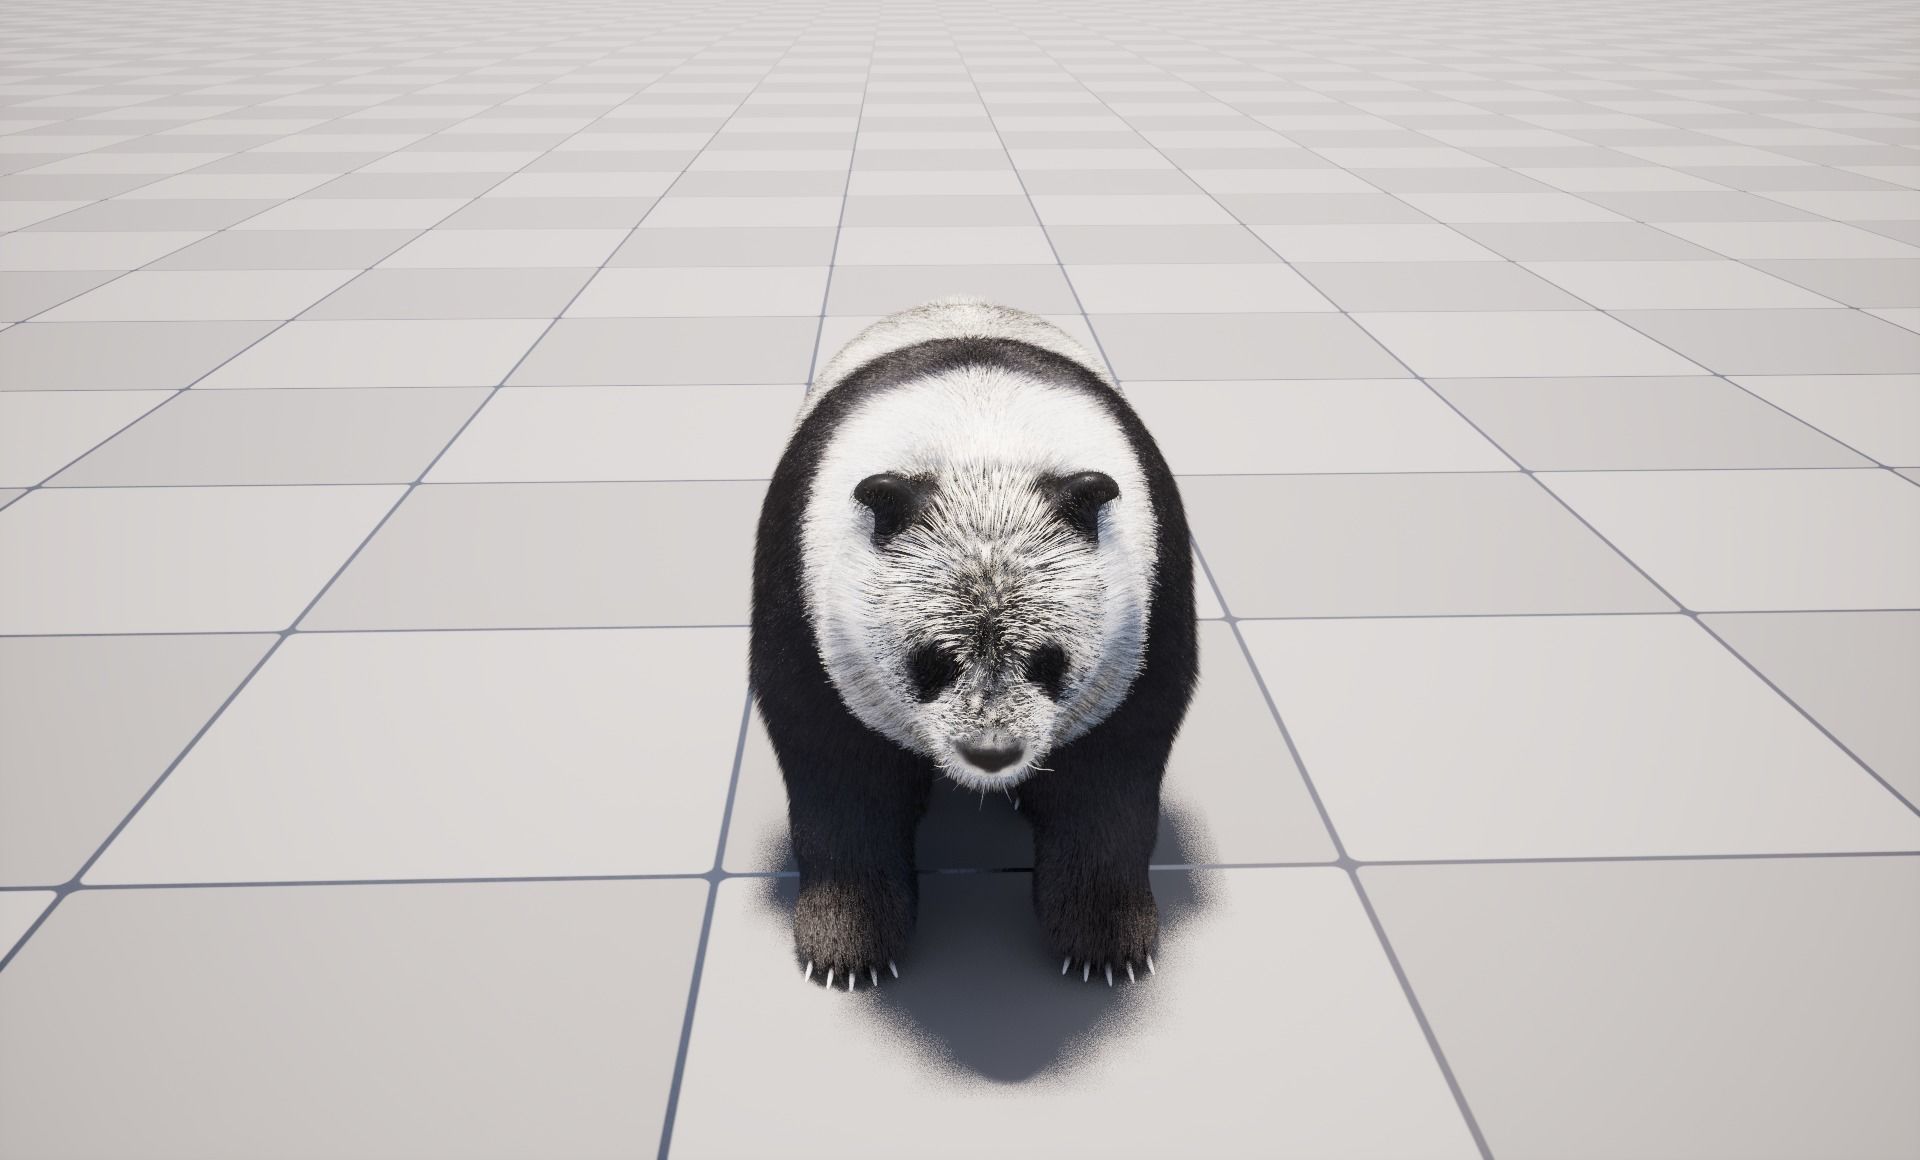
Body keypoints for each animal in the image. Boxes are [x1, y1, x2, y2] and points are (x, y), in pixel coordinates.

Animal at [750, 298, 1198, 992]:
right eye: (930, 662)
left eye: (1050, 661)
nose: (991, 754)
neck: (984, 447)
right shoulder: (801, 589)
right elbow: (834, 761)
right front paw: (847, 944)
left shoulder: (1150, 597)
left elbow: (1113, 768)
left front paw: (1104, 942)